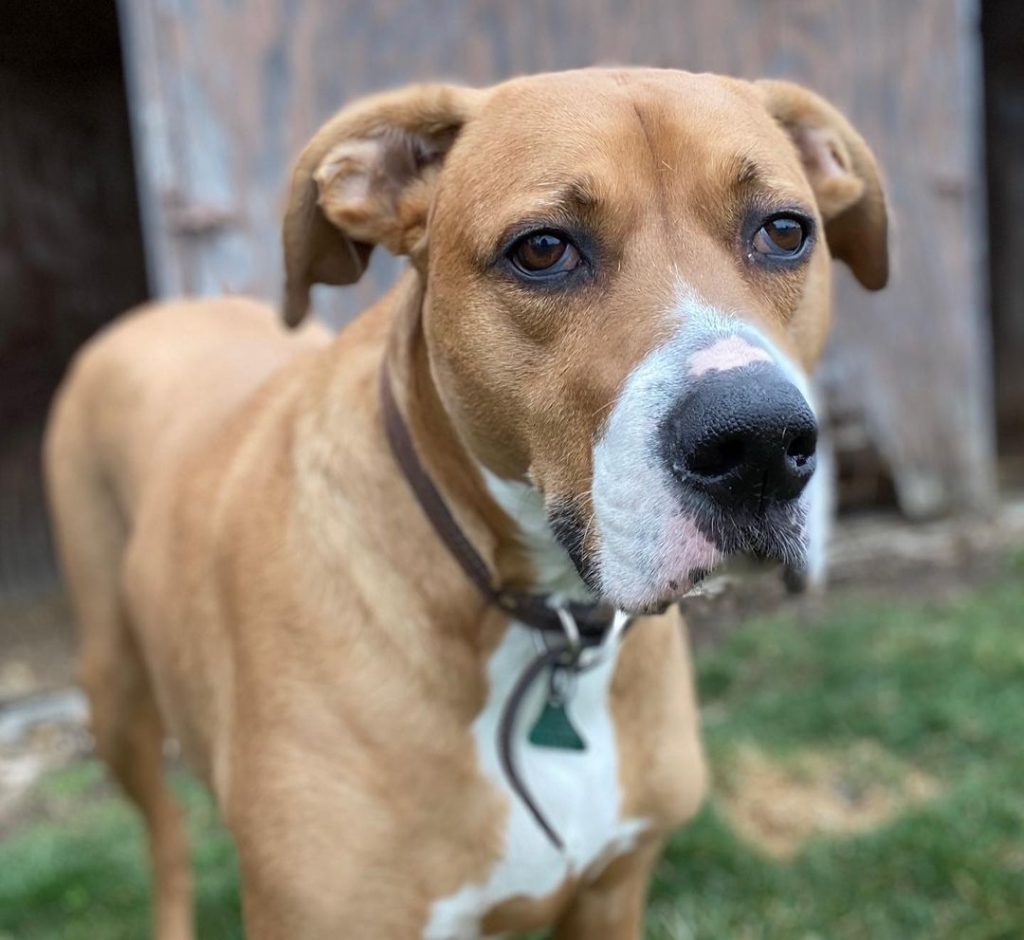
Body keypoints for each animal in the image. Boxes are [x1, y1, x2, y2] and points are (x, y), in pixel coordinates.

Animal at [44, 68, 884, 940]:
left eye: (784, 231)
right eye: (543, 248)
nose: (758, 444)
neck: (538, 615)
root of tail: (162, 309)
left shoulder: (612, 892)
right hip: (114, 694)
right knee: (165, 837)